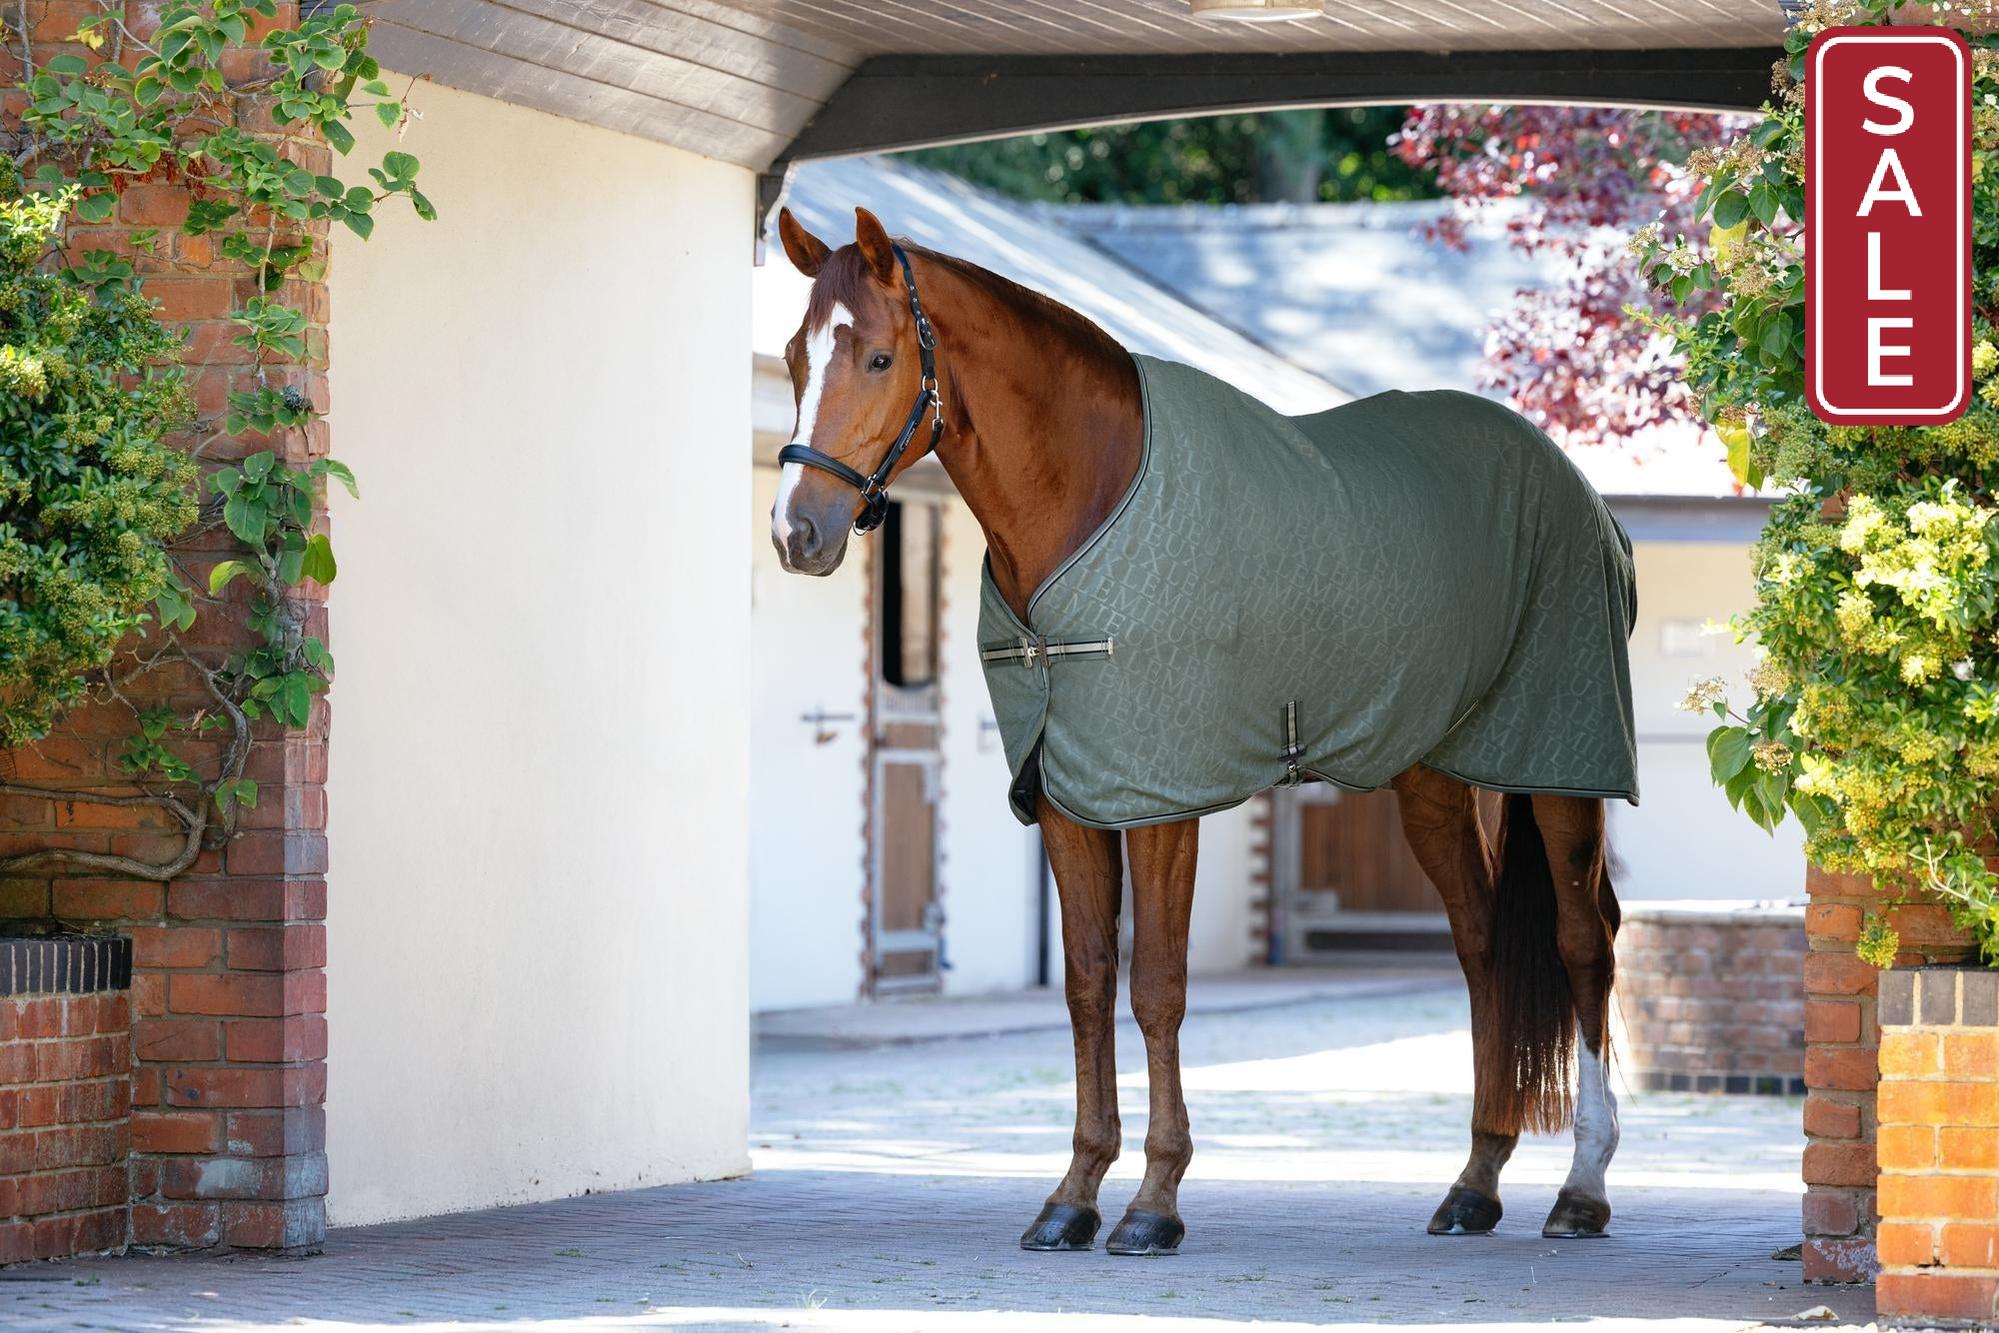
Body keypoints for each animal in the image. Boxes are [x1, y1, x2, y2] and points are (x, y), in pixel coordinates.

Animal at [768, 205, 1627, 1258]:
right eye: (794, 357)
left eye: (881, 357)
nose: (797, 532)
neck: (1091, 496)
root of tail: (1572, 483)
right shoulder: (1069, 796)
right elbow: (1087, 983)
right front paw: (1072, 1194)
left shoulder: (1160, 798)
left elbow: (1157, 987)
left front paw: (1153, 1200)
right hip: (1434, 778)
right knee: (1481, 947)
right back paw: (1473, 1183)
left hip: (1562, 762)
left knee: (1585, 942)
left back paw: (1581, 1187)